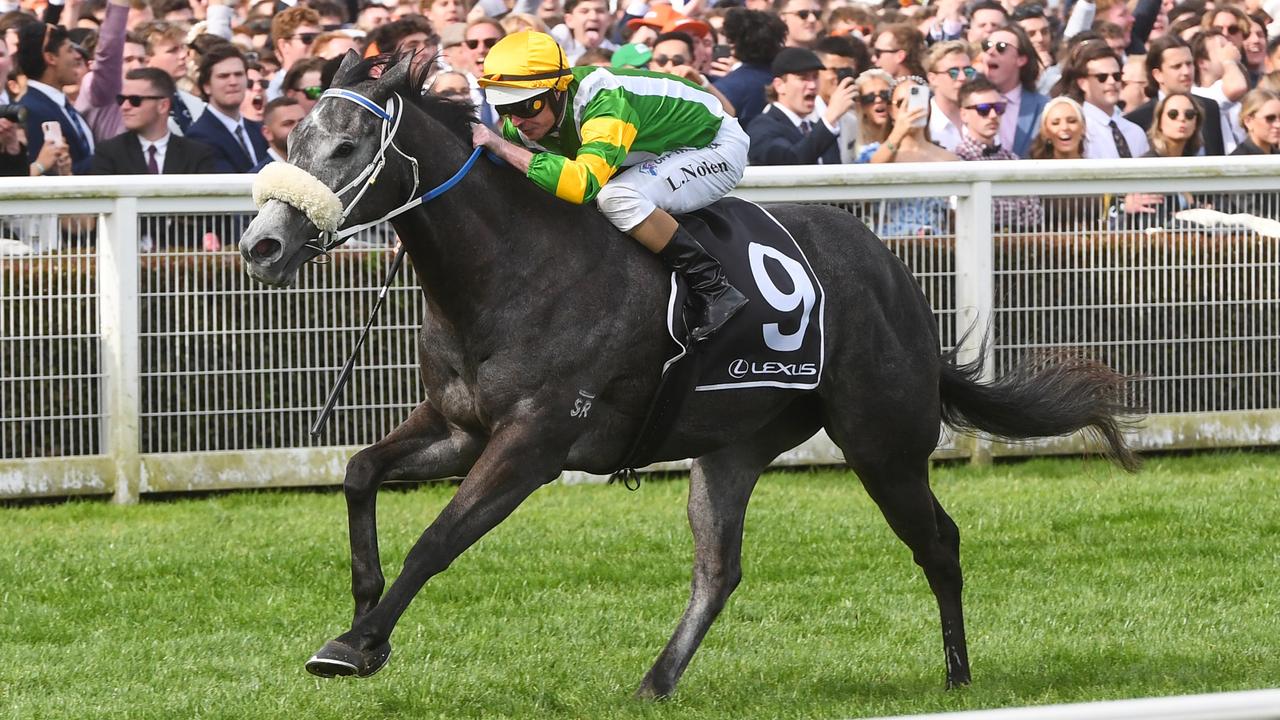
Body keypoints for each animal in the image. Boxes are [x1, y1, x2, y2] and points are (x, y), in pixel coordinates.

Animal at [235, 53, 1136, 696]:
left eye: (346, 146)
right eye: (290, 141)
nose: (261, 246)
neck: (507, 269)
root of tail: (894, 273)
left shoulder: (534, 441)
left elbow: (438, 538)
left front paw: (354, 645)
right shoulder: (458, 426)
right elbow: (359, 473)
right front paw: (362, 612)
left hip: (881, 440)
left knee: (938, 541)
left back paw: (957, 674)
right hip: (731, 447)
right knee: (718, 570)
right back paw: (654, 683)